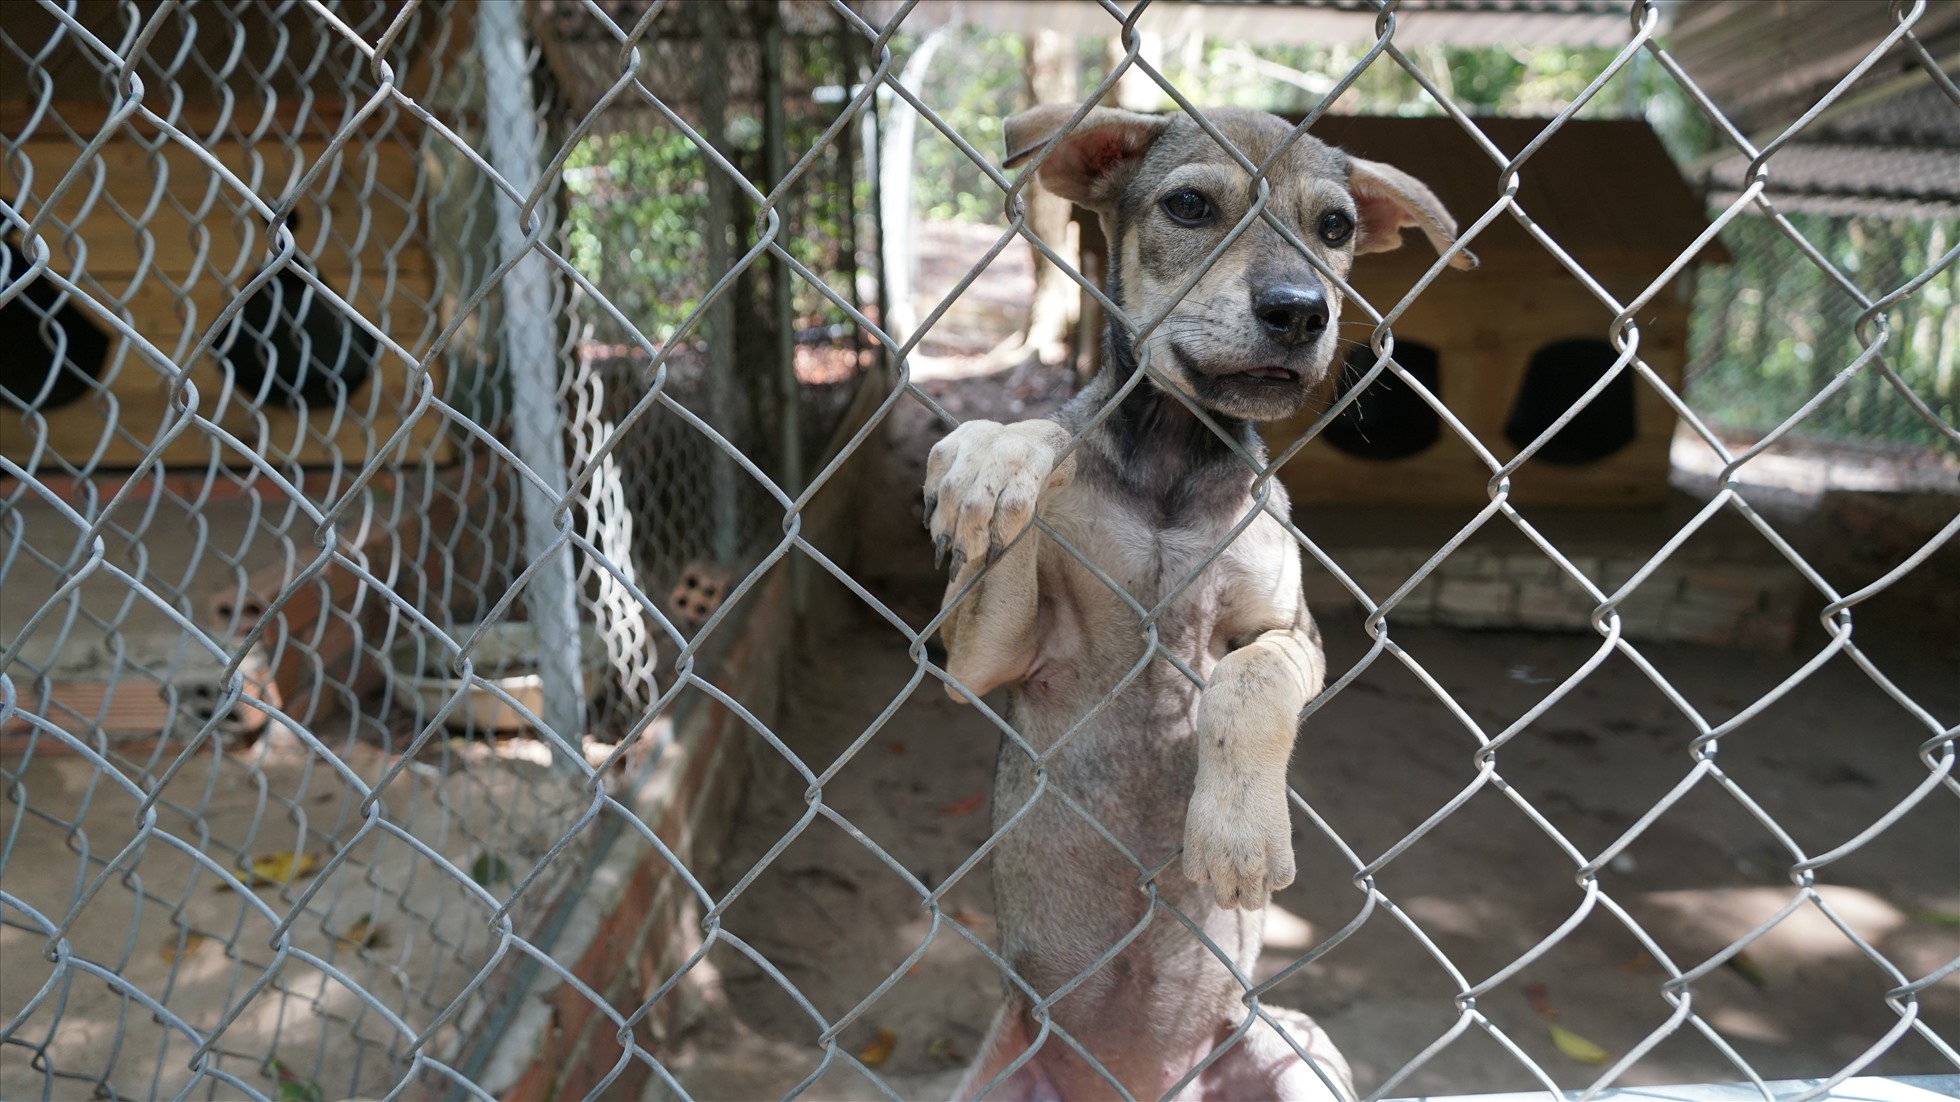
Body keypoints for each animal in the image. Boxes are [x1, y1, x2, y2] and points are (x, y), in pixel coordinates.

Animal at [921, 98, 1473, 1090]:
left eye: (1335, 227)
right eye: (1188, 206)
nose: (1300, 311)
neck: (1173, 461)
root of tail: (1135, 1086)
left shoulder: (1293, 633)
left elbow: (1244, 686)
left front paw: (1236, 838)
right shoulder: (984, 658)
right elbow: (1025, 479)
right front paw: (997, 453)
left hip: (1287, 1046)